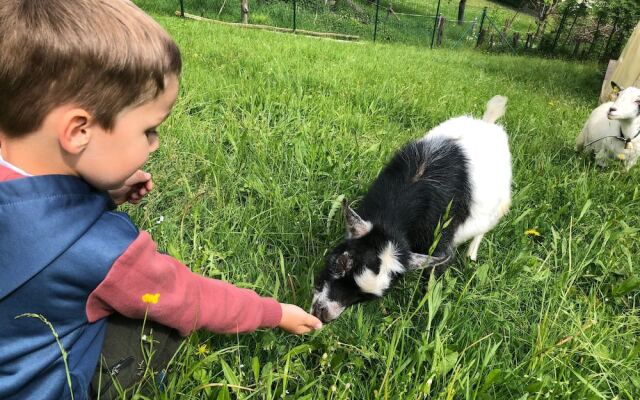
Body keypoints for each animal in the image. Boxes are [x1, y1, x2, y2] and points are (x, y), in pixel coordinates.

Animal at [310, 96, 510, 322]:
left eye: (368, 298)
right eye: (341, 262)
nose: (323, 314)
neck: (415, 181)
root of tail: (488, 122)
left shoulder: (440, 242)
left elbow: (432, 277)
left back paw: (471, 255)